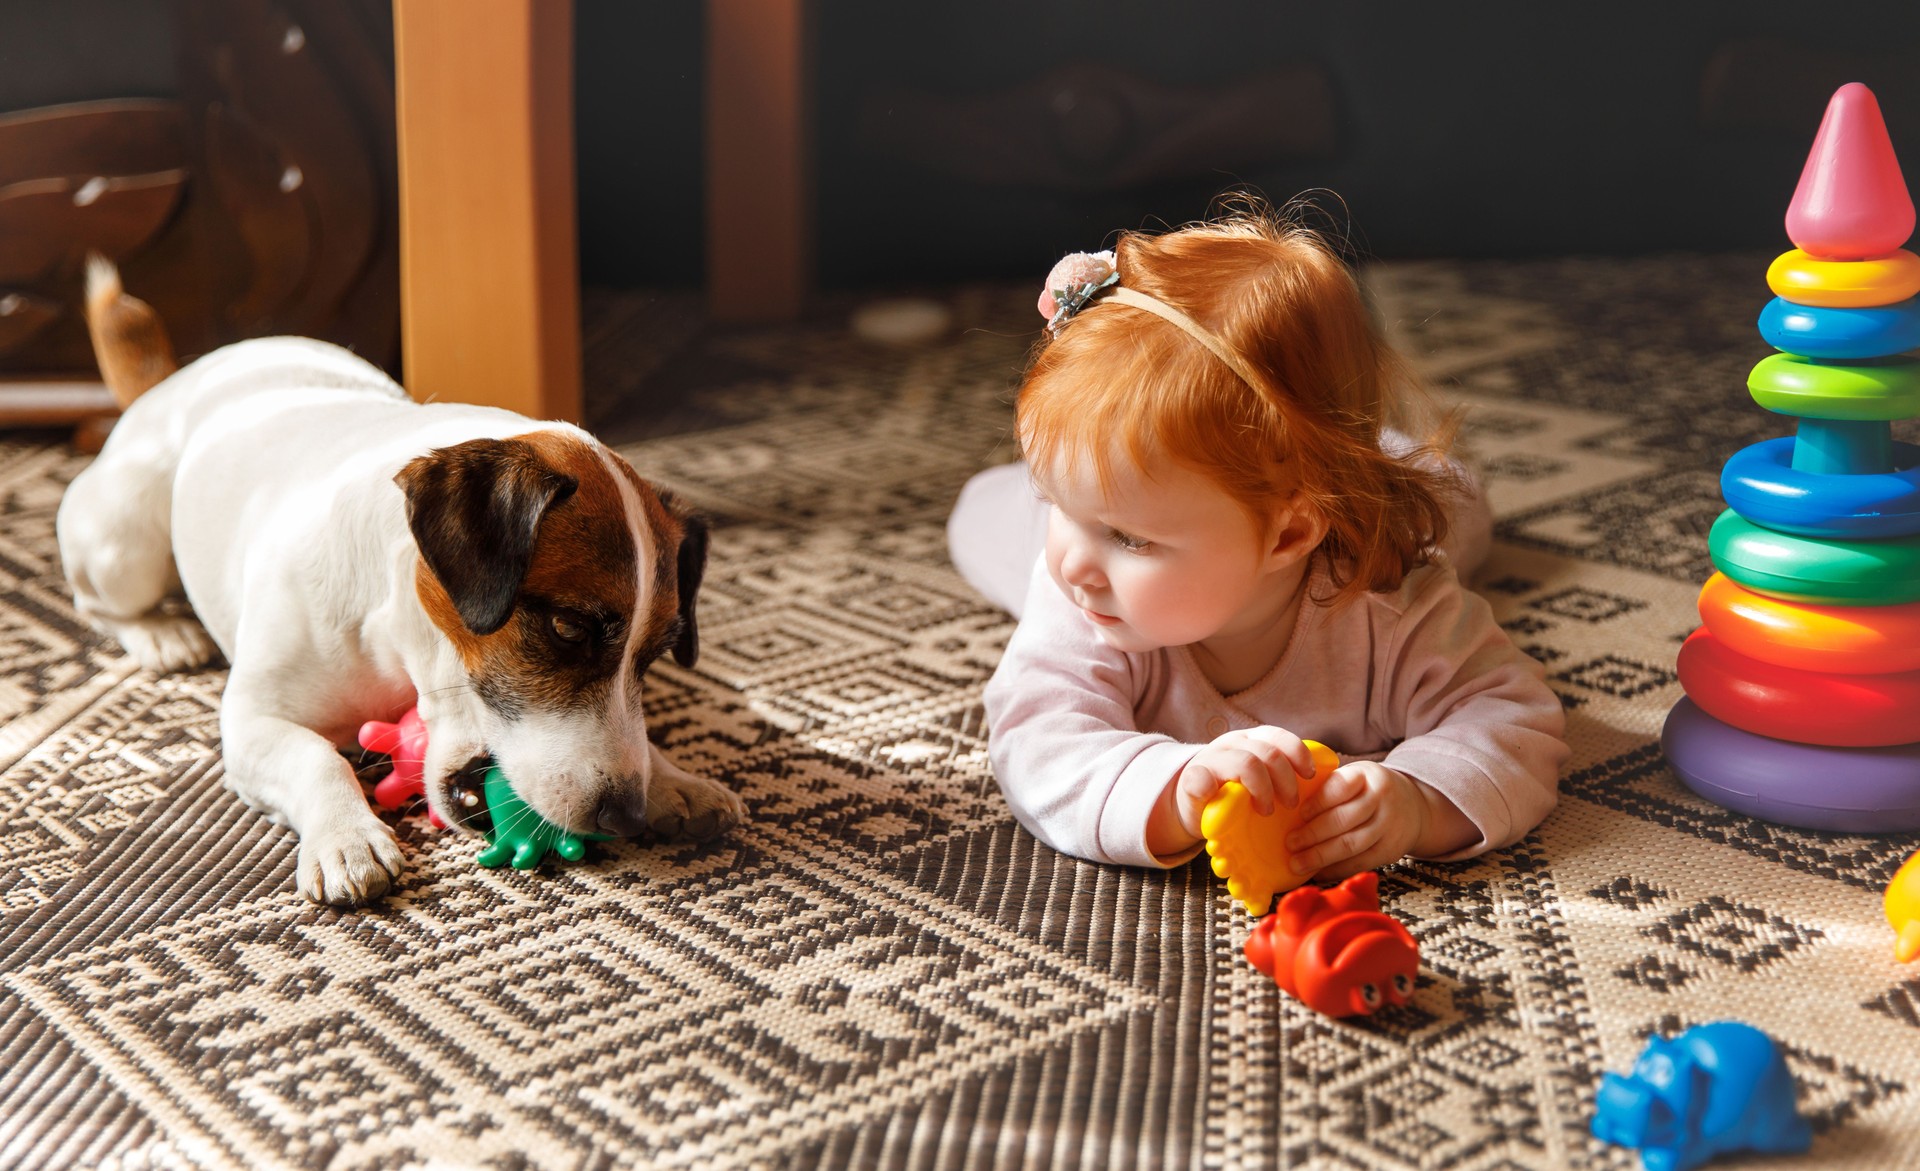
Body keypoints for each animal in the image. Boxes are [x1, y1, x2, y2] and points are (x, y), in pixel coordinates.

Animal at [56, 257, 744, 902]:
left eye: (653, 657)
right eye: (569, 628)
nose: (624, 817)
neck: (390, 646)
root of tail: (178, 375)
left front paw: (673, 778)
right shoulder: (252, 720)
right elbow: (314, 757)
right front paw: (346, 836)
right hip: (125, 546)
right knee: (99, 601)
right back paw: (162, 633)